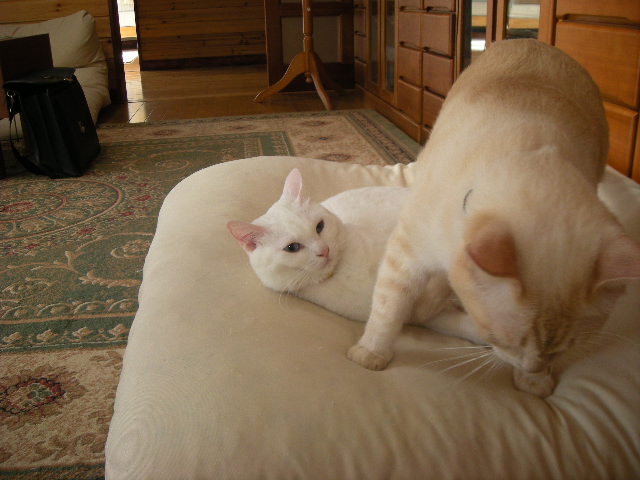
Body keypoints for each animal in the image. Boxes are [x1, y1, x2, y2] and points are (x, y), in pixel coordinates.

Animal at [347, 39, 640, 397]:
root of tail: (533, 41)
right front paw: (371, 355)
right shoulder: (409, 253)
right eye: (501, 340)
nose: (532, 367)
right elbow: (390, 309)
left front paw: (535, 384)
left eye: (560, 352)